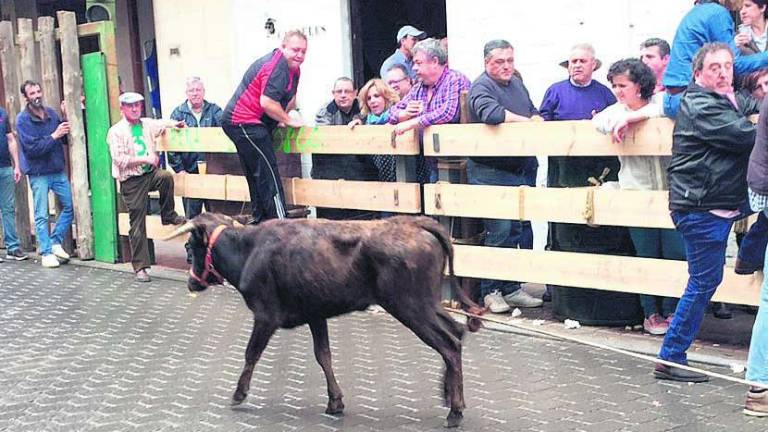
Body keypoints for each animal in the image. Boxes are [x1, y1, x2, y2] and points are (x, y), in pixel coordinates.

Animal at [166, 213, 484, 426]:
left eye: (189, 247)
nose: (191, 283)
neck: (249, 250)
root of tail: (416, 223)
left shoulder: (266, 315)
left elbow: (251, 353)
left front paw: (239, 393)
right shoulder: (316, 314)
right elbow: (324, 356)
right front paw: (335, 401)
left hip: (411, 305)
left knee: (449, 343)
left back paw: (455, 411)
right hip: (427, 303)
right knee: (456, 331)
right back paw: (450, 395)